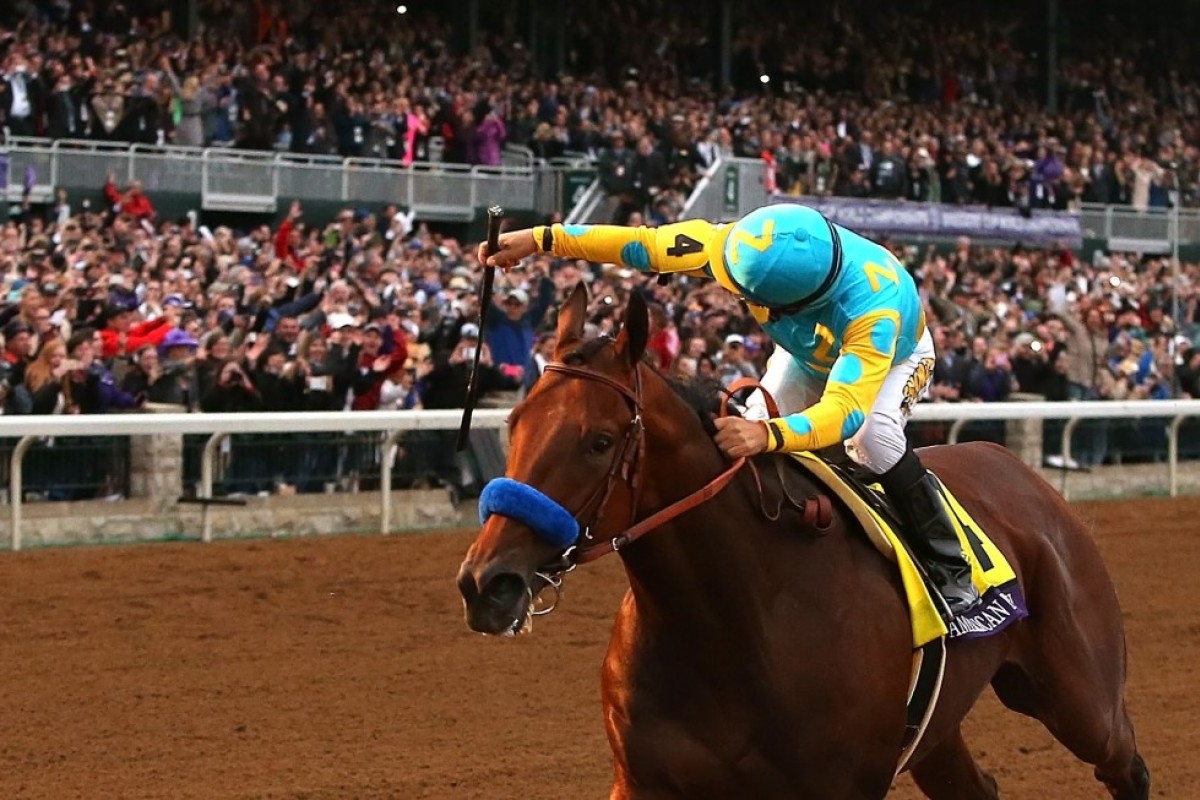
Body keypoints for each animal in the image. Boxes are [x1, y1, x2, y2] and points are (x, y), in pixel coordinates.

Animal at [453, 289, 1147, 800]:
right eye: (513, 423)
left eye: (598, 441)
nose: (487, 584)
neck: (731, 623)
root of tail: (1023, 474)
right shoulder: (642, 781)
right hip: (938, 727)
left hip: (1080, 698)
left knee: (1125, 765)